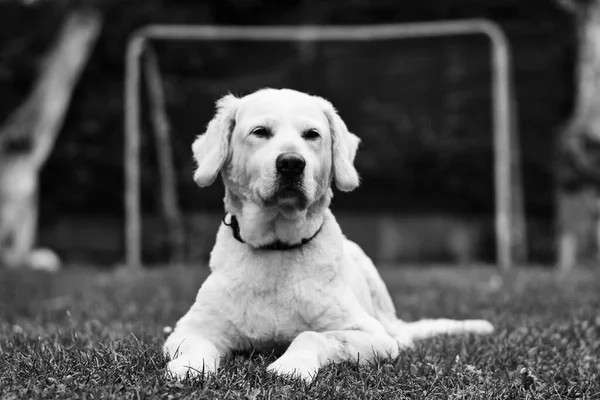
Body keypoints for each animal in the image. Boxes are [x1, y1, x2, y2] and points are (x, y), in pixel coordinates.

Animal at [163, 87, 492, 382]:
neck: (277, 247)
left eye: (312, 134)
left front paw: (291, 366)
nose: (291, 163)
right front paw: (188, 367)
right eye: (260, 132)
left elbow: (313, 335)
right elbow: (196, 346)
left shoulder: (371, 335)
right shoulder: (188, 329)